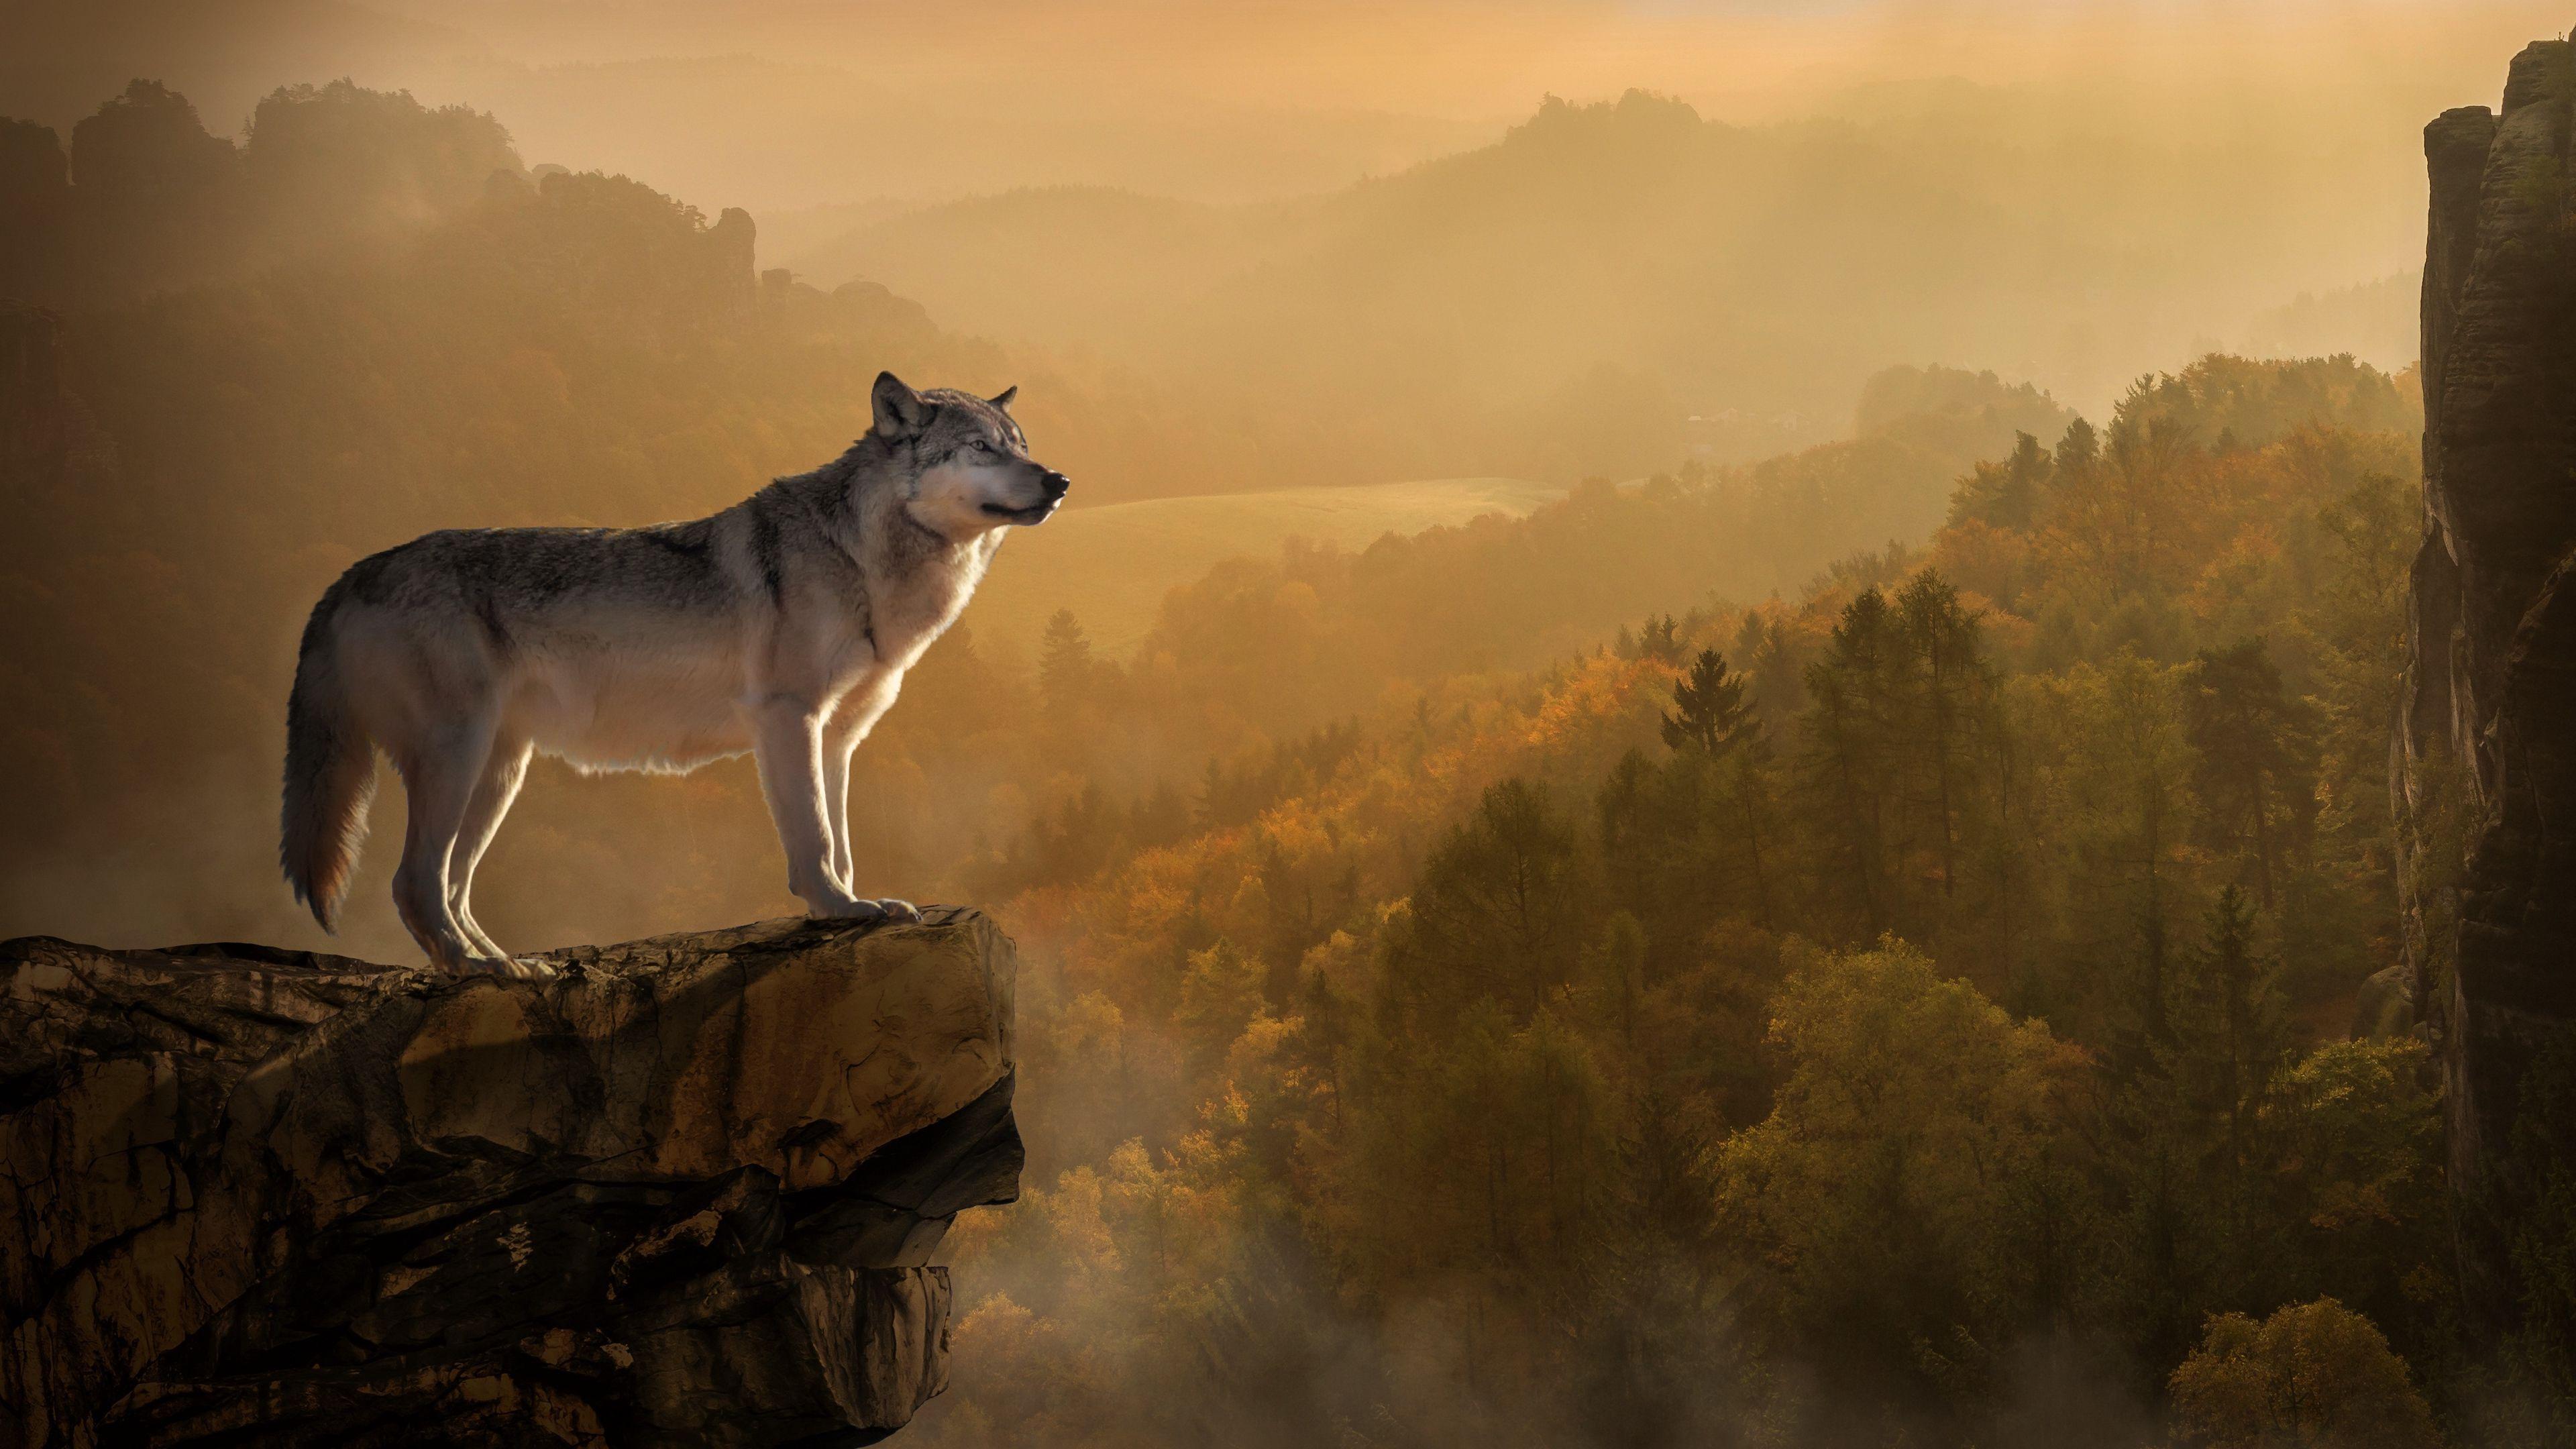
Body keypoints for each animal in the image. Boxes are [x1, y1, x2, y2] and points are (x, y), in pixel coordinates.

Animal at [279, 372, 1066, 974]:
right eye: (980, 448)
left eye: (1022, 446)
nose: (1060, 480)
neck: (862, 558)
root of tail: (349, 575)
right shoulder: (788, 719)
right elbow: (813, 840)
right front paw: (839, 909)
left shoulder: (838, 738)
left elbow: (841, 842)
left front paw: (854, 905)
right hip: (459, 758)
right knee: (415, 883)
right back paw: (475, 971)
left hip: (500, 773)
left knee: (454, 886)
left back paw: (507, 964)